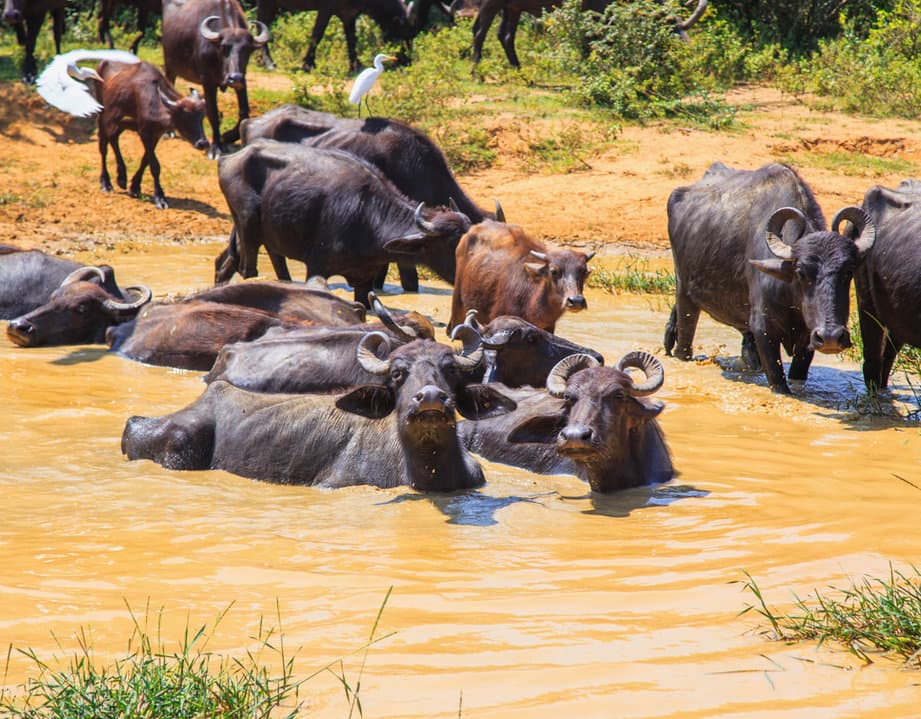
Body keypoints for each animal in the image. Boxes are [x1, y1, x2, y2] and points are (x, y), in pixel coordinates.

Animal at [161, 0, 269, 158]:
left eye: (247, 49)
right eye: (224, 47)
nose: (234, 77)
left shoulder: (242, 80)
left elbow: (244, 112)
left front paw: (227, 136)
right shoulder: (207, 81)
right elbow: (213, 113)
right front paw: (215, 148)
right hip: (170, 68)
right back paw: (169, 132)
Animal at [216, 140, 472, 305]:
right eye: (453, 245)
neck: (366, 218)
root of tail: (228, 159)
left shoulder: (364, 281)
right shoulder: (316, 268)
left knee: (226, 265)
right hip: (248, 226)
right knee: (248, 270)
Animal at [664, 162, 876, 394]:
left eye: (848, 272)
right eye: (801, 272)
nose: (830, 337)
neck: (789, 293)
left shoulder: (807, 336)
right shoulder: (763, 329)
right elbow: (777, 380)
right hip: (685, 294)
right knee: (684, 339)